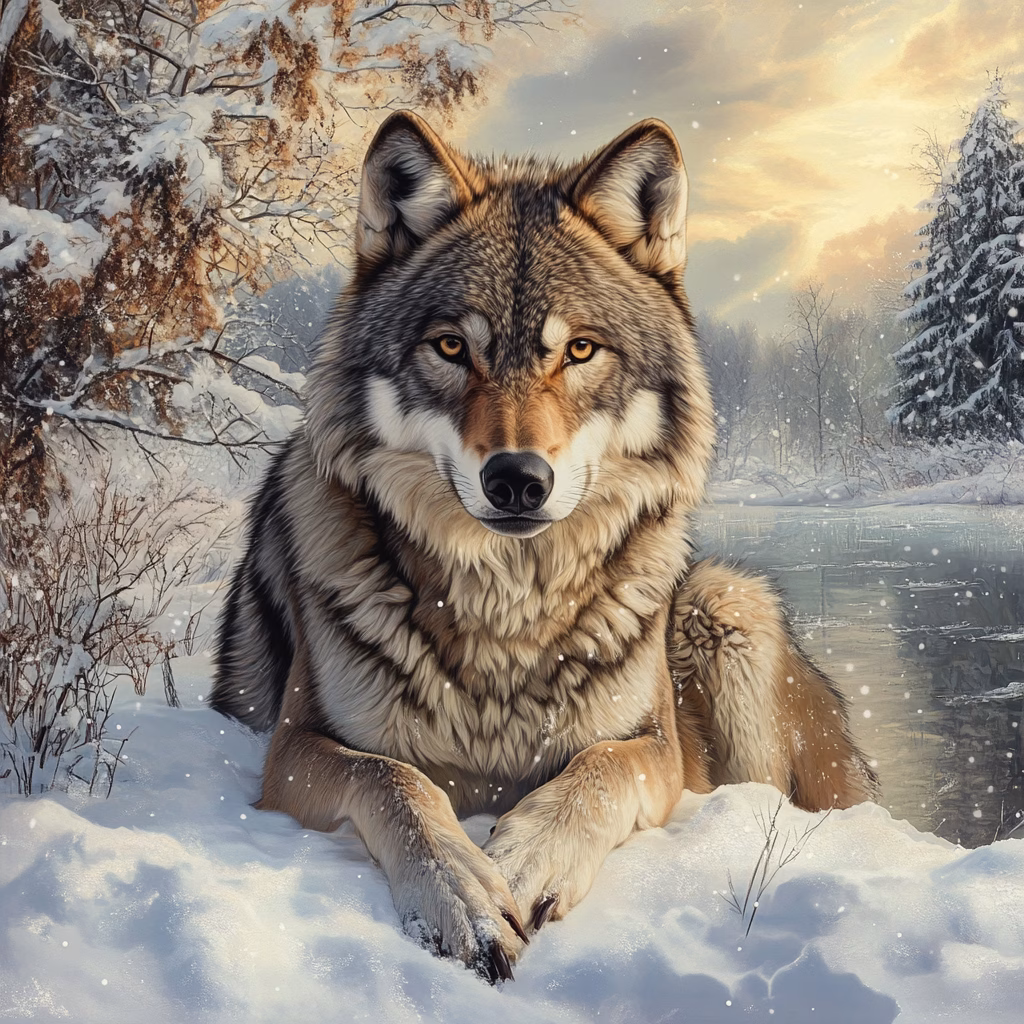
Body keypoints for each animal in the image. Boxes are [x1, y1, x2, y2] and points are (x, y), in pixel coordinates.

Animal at [212, 112, 878, 982]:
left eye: (580, 350)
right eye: (452, 347)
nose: (518, 479)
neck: (508, 608)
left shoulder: (656, 750)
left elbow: (597, 770)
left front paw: (526, 858)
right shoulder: (291, 749)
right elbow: (396, 781)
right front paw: (462, 892)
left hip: (725, 599)